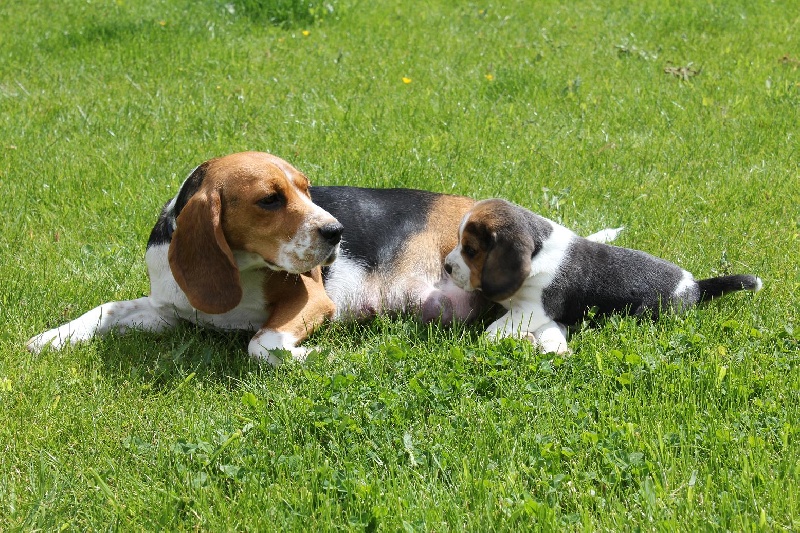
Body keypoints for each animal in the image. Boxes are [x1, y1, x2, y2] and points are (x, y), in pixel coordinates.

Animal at [25, 150, 342, 366]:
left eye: (307, 189)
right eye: (269, 199)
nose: (336, 231)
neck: (241, 267)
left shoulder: (312, 297)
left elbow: (260, 344)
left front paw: (316, 354)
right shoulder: (166, 313)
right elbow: (109, 308)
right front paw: (56, 336)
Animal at [444, 198, 764, 354]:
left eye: (470, 250)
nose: (446, 266)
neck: (537, 250)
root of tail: (694, 287)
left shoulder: (533, 308)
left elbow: (492, 331)